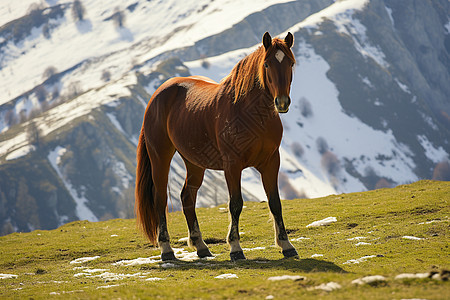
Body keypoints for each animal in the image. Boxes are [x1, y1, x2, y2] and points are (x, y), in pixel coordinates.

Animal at [137, 31, 298, 260]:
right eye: (267, 64)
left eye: (291, 63)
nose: (282, 102)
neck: (250, 114)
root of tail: (157, 96)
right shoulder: (232, 165)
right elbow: (235, 204)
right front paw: (235, 248)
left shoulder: (271, 162)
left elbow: (275, 202)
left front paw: (286, 245)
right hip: (160, 157)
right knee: (160, 198)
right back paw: (166, 249)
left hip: (194, 162)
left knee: (187, 196)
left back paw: (201, 246)